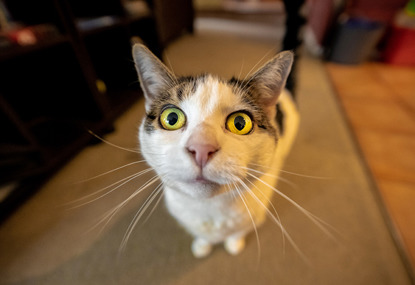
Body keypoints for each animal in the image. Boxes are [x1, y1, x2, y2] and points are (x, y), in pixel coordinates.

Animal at [133, 42, 300, 258]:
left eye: (240, 123)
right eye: (171, 118)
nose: (201, 148)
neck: (209, 209)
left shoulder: (255, 214)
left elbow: (239, 231)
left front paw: (234, 243)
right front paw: (202, 245)